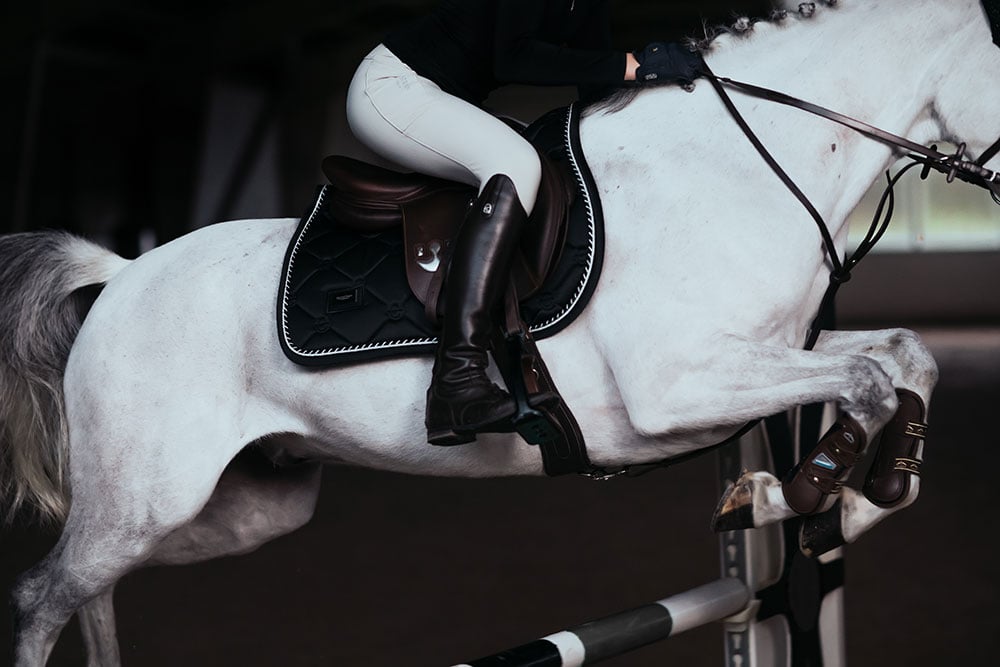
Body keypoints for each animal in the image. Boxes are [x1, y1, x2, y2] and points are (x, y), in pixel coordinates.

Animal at [3, 0, 999, 664]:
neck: (740, 166)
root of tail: (122, 274)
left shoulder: (763, 354)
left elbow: (900, 357)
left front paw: (844, 493)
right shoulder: (680, 386)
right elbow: (867, 380)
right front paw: (801, 485)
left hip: (241, 506)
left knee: (97, 585)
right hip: (148, 495)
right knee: (42, 593)